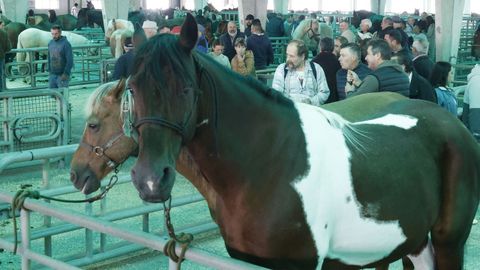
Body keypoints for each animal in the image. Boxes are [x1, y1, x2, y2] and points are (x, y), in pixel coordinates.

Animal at [124, 14, 480, 270]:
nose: (150, 180)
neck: (267, 164)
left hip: (449, 242)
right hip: (412, 242)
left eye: (185, 89)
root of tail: (453, 124)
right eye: (132, 88)